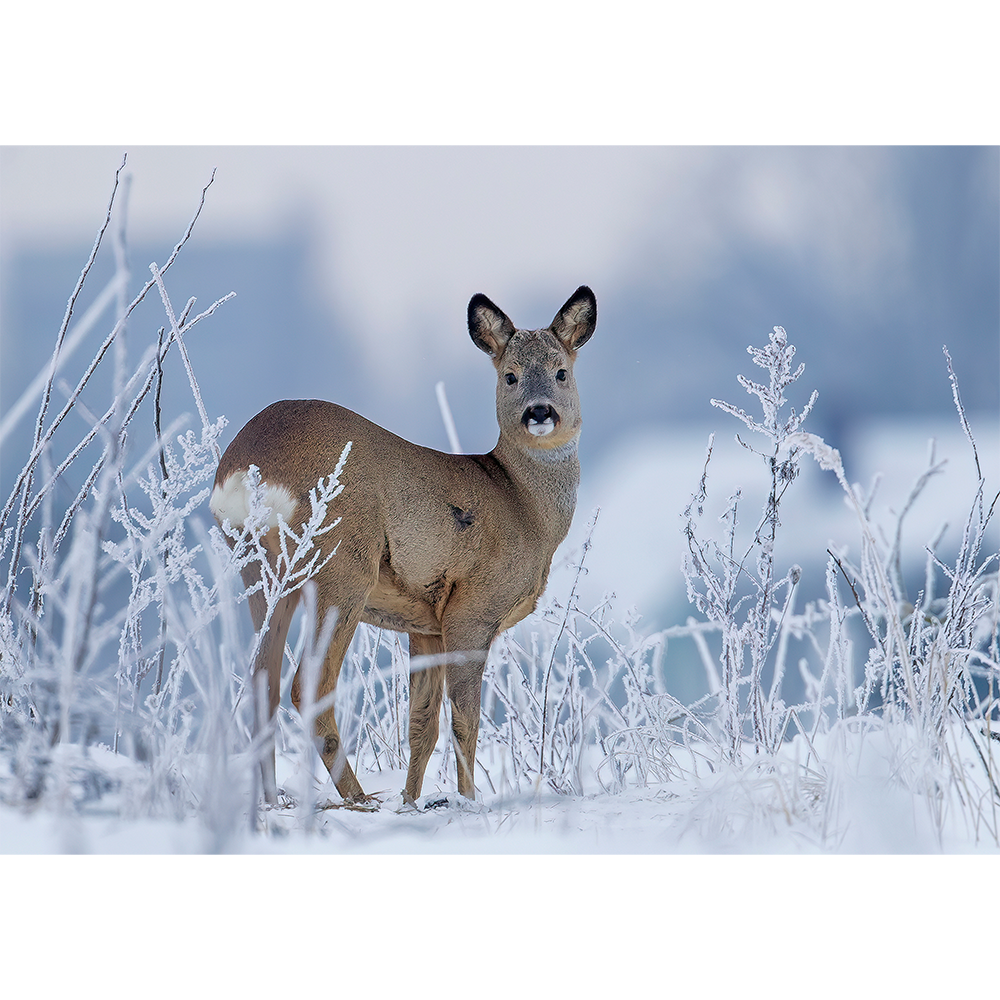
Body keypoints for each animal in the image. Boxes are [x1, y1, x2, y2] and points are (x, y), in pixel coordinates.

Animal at [212, 286, 596, 808]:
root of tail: (245, 470)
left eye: (561, 371)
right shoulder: (472, 610)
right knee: (307, 688)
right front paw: (468, 800)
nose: (540, 412)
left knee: (261, 681)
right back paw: (358, 798)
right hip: (340, 566)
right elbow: (465, 721)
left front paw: (411, 802)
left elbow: (422, 725)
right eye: (510, 375)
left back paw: (273, 800)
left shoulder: (425, 623)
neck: (521, 504)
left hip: (261, 573)